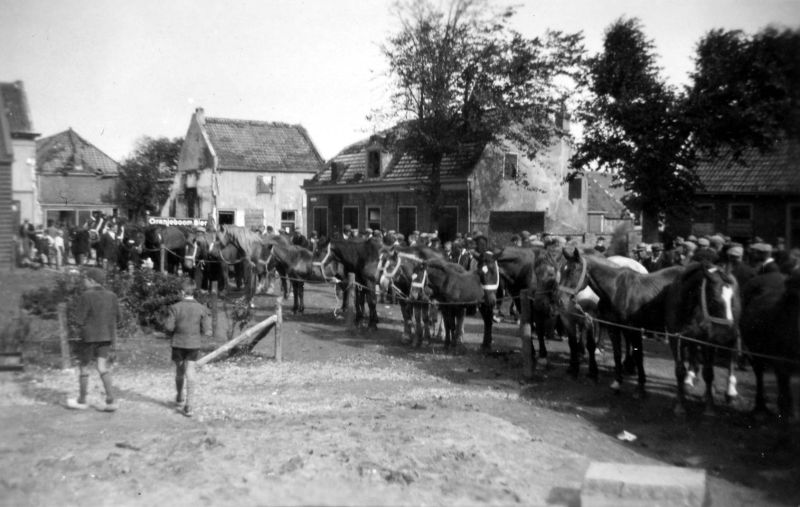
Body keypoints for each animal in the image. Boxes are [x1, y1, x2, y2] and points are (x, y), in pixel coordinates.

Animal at [556, 248, 680, 398]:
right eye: (561, 270)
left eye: (573, 271)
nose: (560, 300)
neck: (617, 289)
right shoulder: (609, 326)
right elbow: (614, 353)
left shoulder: (628, 327)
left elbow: (638, 354)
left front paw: (639, 387)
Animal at [664, 262, 740, 416]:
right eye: (714, 300)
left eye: (732, 300)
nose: (729, 335)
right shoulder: (676, 338)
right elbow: (679, 371)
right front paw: (680, 404)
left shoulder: (708, 341)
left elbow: (709, 372)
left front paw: (709, 406)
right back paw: (690, 379)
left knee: (731, 357)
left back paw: (730, 392)